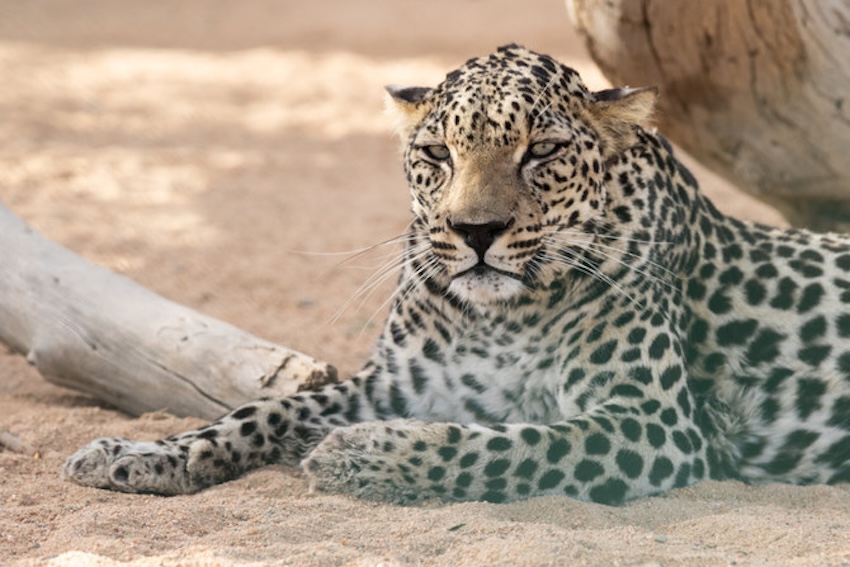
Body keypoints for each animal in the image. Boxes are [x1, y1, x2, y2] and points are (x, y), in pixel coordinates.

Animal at [62, 44, 850, 505]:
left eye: (542, 152)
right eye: (437, 153)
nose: (475, 232)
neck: (503, 317)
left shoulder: (651, 420)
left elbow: (514, 444)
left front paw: (360, 454)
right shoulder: (395, 382)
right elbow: (261, 409)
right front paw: (141, 453)